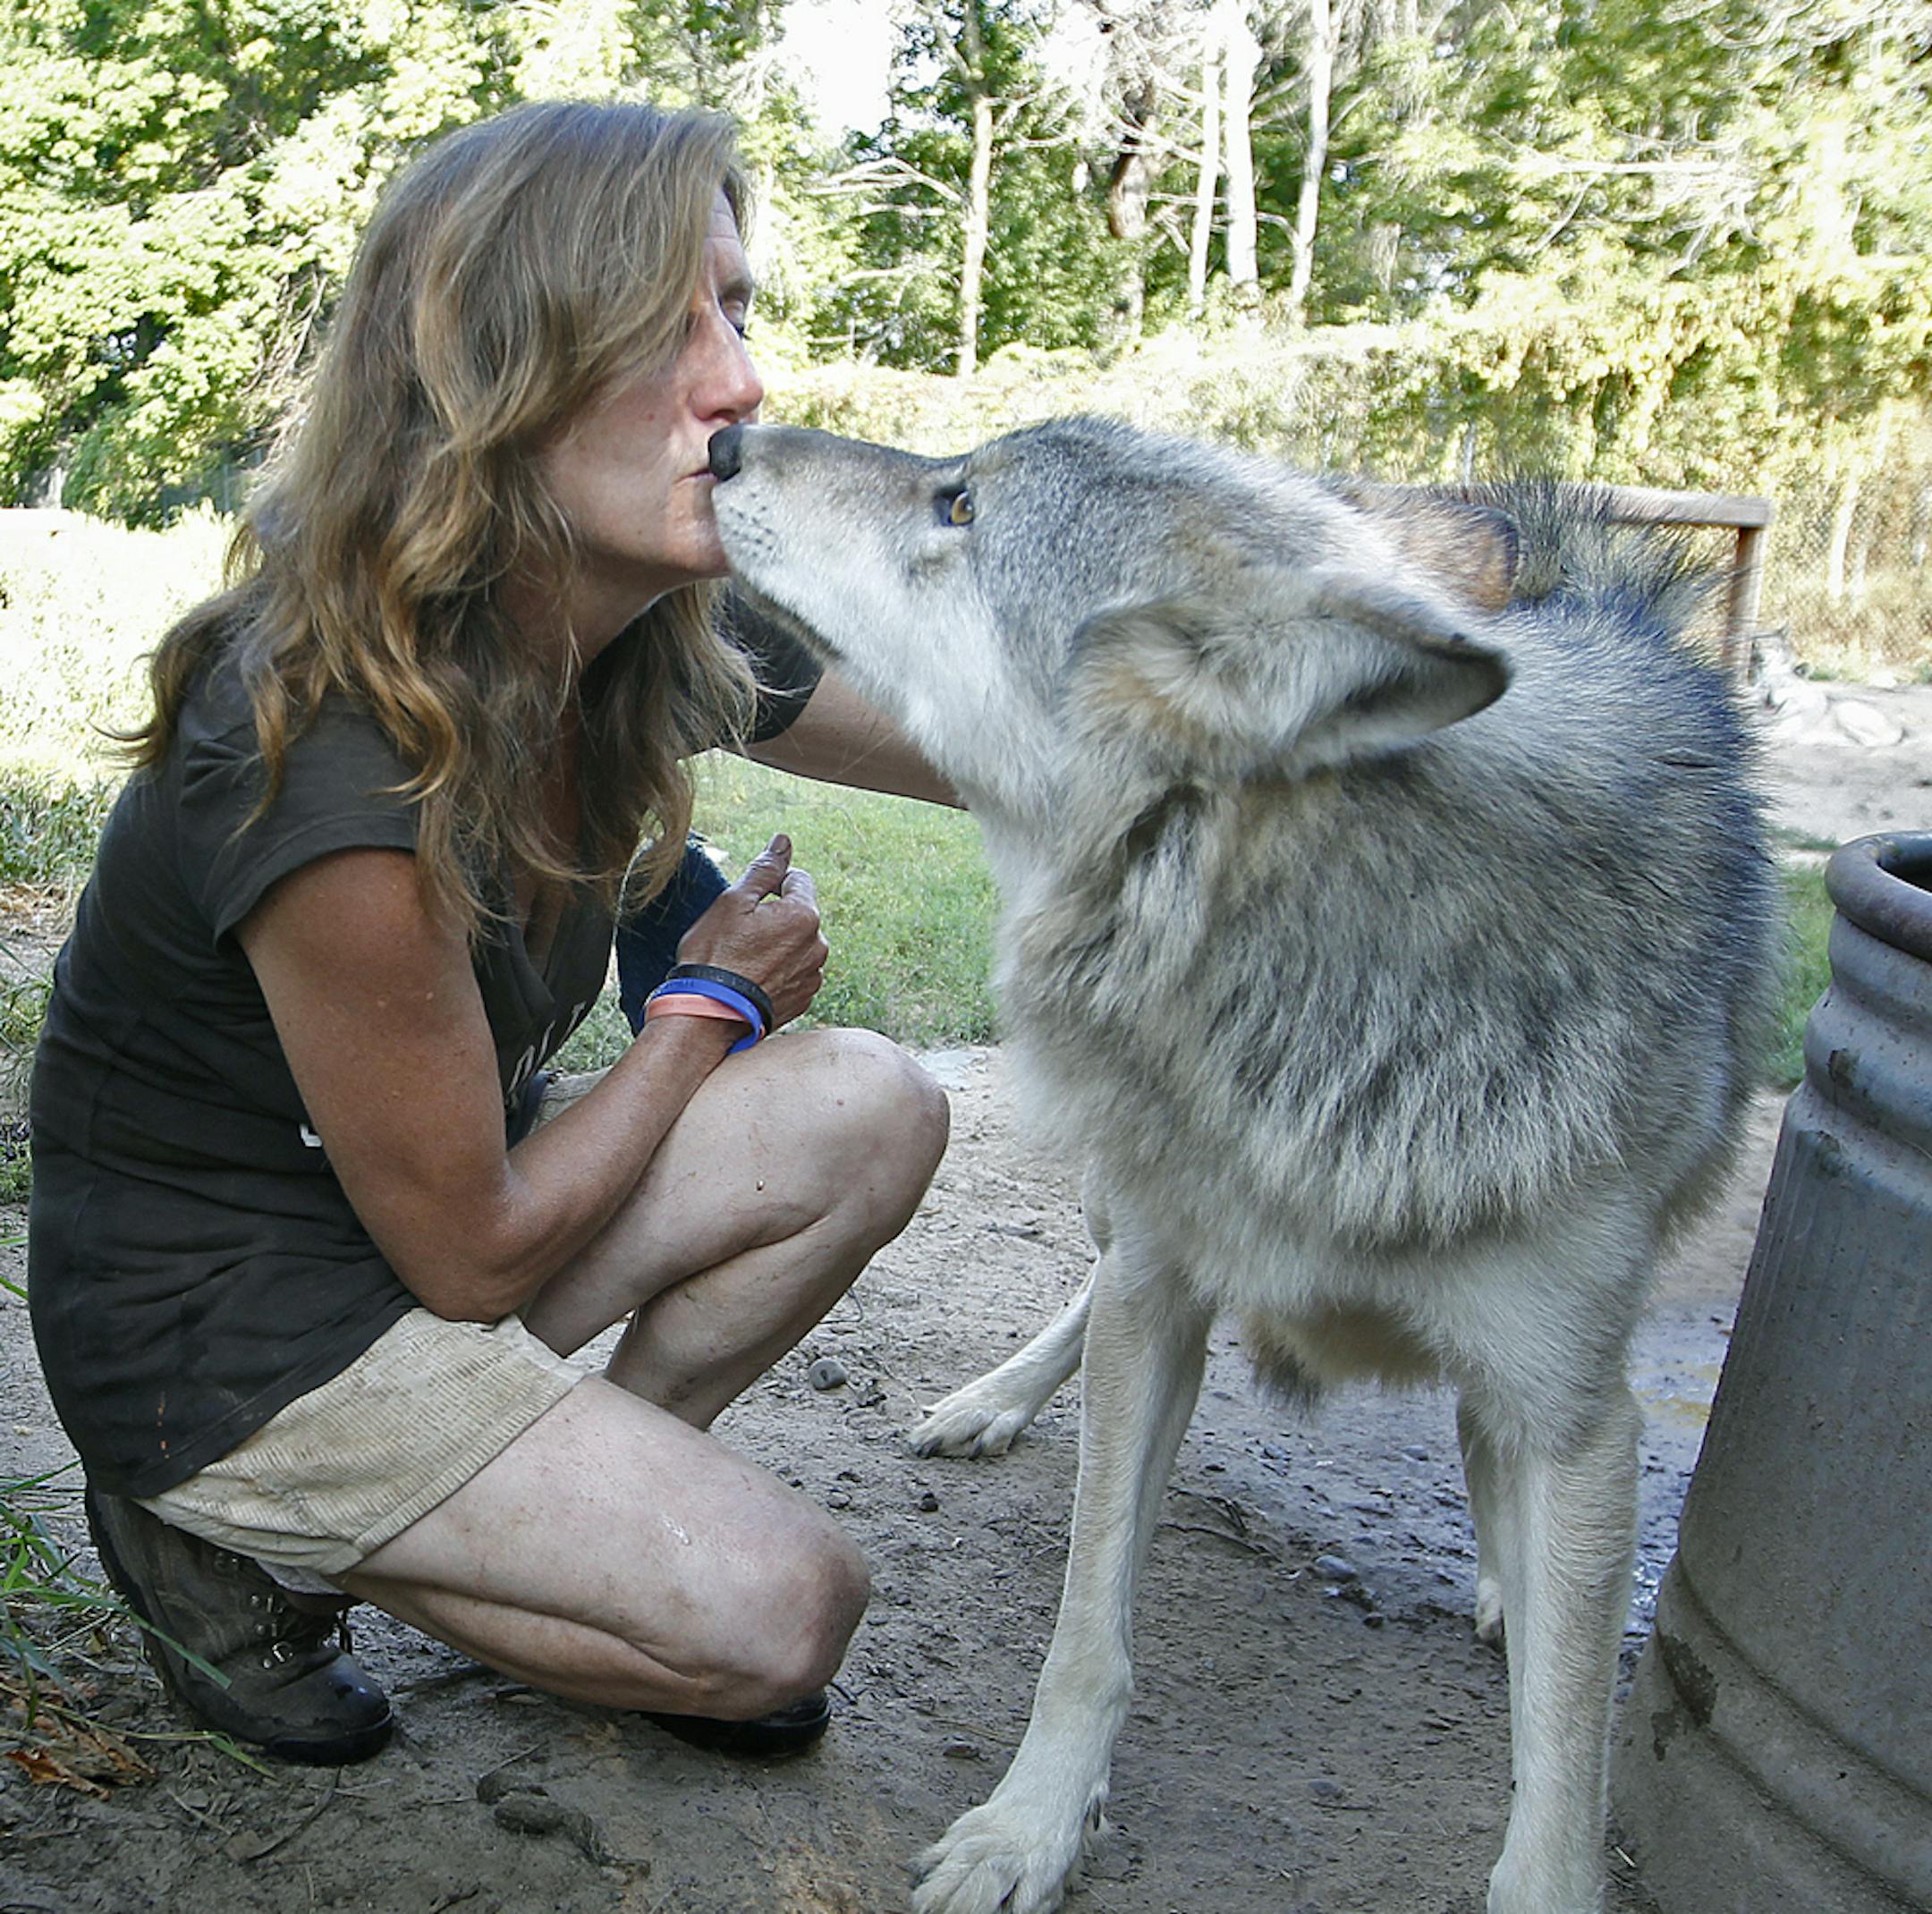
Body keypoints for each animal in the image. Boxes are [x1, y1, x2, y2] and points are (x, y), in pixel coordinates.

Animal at [710, 415, 1778, 1914]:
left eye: (957, 504)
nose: (726, 438)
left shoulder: (1577, 1408)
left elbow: (1565, 1764)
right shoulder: (1161, 1296)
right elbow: (1088, 1626)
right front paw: (1029, 1830)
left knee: (1489, 1453)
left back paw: (1507, 1576)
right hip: (1121, 1201)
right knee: (1091, 1293)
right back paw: (990, 1402)